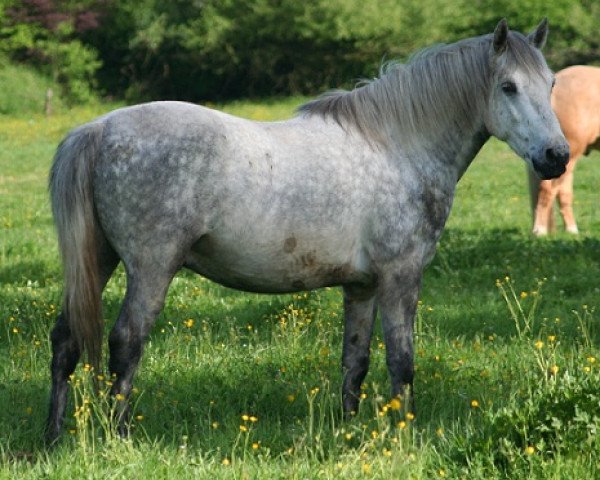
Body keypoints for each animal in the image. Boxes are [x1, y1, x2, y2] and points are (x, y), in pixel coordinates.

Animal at [45, 19, 568, 442]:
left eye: (551, 84)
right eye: (508, 86)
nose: (557, 156)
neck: (398, 146)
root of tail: (97, 130)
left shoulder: (362, 287)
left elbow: (355, 362)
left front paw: (349, 433)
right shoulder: (401, 276)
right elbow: (402, 361)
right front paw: (407, 436)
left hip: (99, 261)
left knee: (65, 341)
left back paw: (52, 438)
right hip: (151, 269)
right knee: (126, 343)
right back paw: (119, 436)